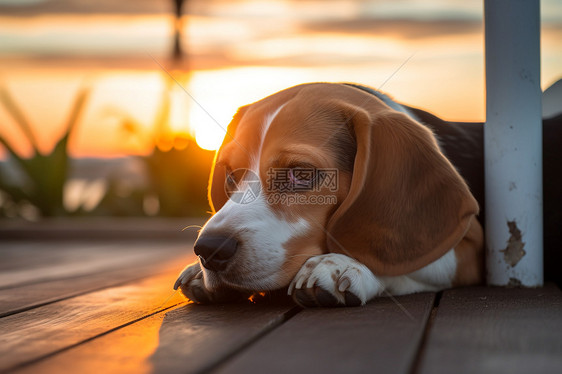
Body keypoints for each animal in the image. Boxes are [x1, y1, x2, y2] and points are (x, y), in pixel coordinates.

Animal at [174, 82, 482, 306]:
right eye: (230, 174)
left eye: (301, 173)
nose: (209, 250)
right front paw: (197, 272)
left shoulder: (472, 250)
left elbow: (405, 263)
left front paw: (343, 266)